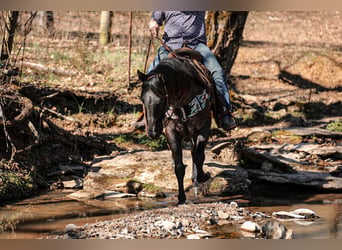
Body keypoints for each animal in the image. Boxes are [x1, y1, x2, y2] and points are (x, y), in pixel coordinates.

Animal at [138, 55, 212, 204]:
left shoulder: (203, 129)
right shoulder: (171, 133)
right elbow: (179, 167)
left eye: (161, 100)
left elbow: (199, 157)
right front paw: (181, 197)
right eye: (142, 99)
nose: (153, 132)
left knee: (196, 154)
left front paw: (203, 176)